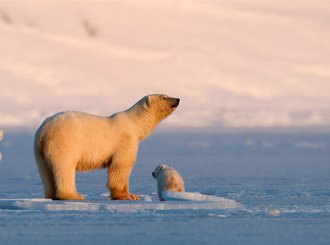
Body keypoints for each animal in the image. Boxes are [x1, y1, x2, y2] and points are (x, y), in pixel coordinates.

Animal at [33, 94, 180, 200]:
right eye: (164, 97)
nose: (178, 99)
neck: (135, 124)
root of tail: (45, 129)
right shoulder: (125, 140)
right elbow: (121, 166)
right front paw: (123, 196)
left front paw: (133, 195)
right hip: (65, 141)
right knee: (65, 166)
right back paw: (73, 195)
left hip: (39, 150)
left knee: (45, 172)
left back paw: (52, 195)